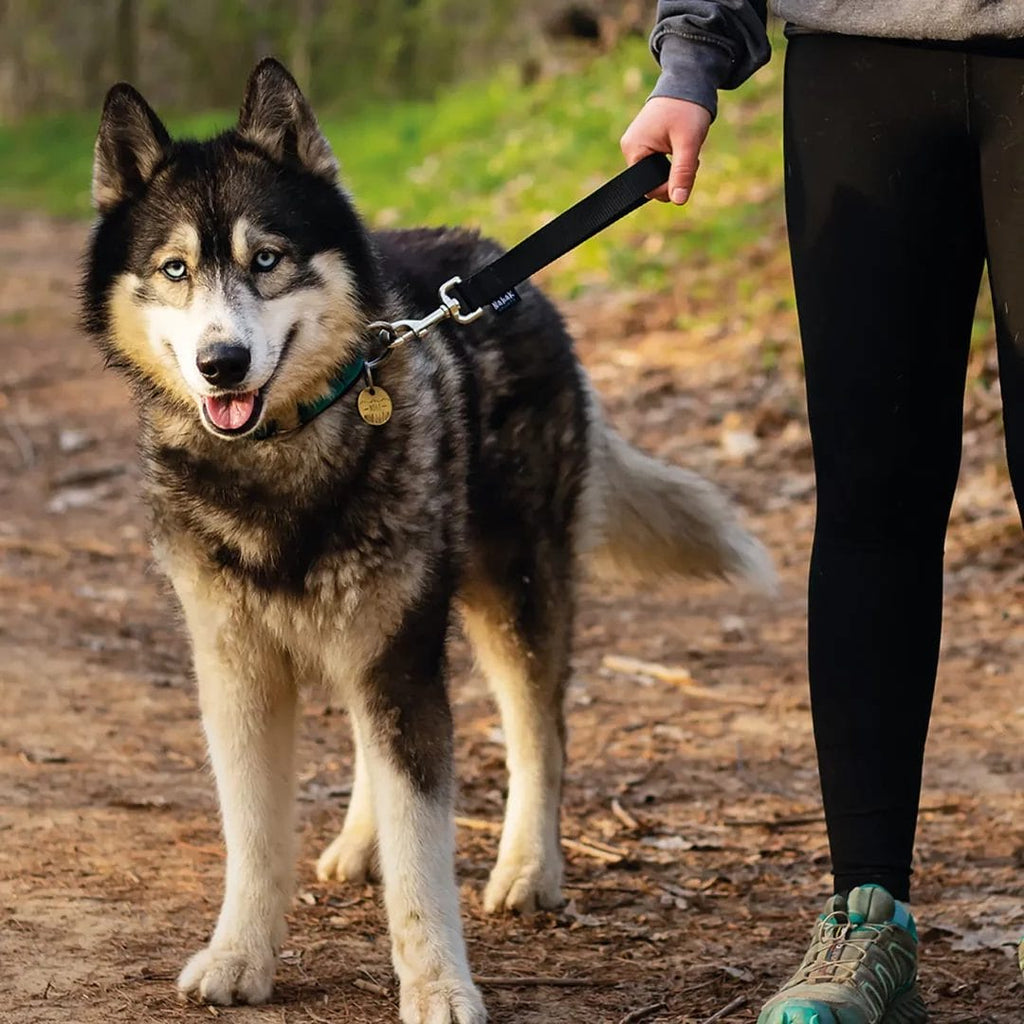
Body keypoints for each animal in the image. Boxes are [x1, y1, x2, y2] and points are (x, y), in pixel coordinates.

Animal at [81, 59, 770, 1024]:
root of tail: (496, 262)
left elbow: (424, 855)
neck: (281, 460)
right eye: (174, 268)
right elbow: (253, 837)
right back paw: (360, 841)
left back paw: (528, 867)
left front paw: (438, 984)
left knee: (538, 730)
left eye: (267, 259)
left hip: (506, 593)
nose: (222, 364)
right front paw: (239, 956)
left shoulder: (403, 660)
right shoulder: (237, 672)